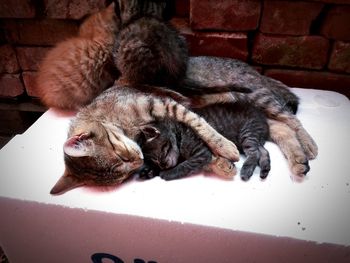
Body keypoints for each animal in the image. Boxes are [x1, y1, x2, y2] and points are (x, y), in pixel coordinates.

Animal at [50, 84, 239, 196]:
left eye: (121, 156)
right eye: (124, 177)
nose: (139, 162)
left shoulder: (161, 104)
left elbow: (197, 122)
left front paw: (224, 146)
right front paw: (220, 163)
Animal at [137, 102, 270, 183]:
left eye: (161, 153)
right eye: (154, 160)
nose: (163, 165)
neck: (179, 131)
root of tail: (263, 117)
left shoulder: (201, 153)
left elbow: (185, 165)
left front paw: (167, 173)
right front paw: (149, 171)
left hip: (248, 132)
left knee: (254, 153)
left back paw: (246, 170)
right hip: (251, 139)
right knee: (263, 152)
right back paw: (264, 171)